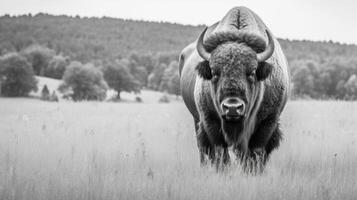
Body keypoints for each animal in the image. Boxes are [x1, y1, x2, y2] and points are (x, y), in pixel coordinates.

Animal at [178, 7, 290, 171]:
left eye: (252, 72)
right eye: (214, 73)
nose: (232, 108)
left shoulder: (268, 123)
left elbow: (256, 153)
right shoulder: (210, 121)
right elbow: (220, 153)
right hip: (196, 119)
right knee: (202, 149)